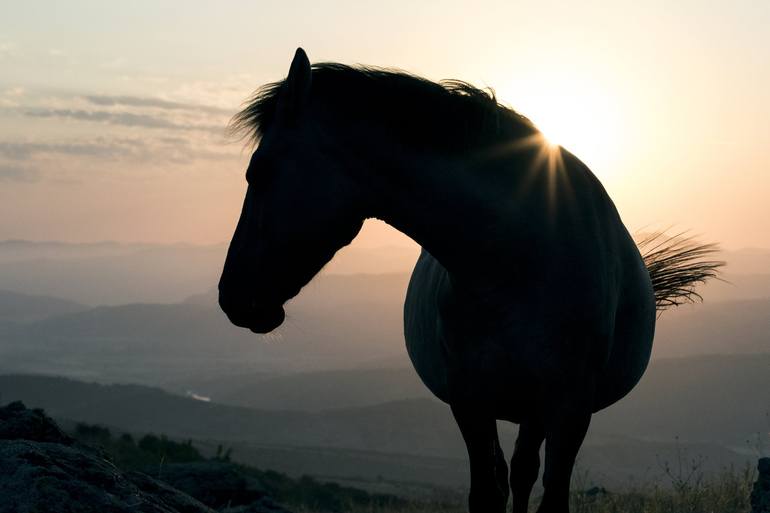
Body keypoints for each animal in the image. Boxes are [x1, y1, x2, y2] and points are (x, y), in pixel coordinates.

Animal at [218, 49, 720, 512]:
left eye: (258, 171)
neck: (521, 260)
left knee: (523, 472)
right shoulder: (470, 399)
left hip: (537, 410)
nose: (230, 297)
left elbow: (550, 496)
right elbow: (487, 492)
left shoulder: (570, 407)